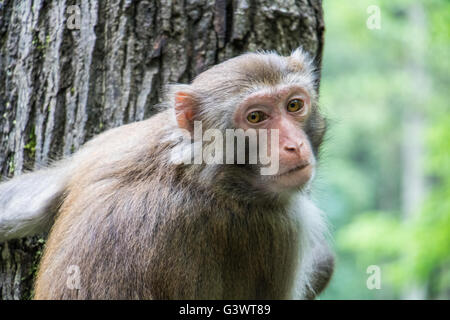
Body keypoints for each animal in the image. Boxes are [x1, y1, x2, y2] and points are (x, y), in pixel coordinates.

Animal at [0, 48, 334, 300]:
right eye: (255, 117)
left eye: (294, 104)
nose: (293, 145)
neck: (196, 169)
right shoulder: (278, 230)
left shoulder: (113, 142)